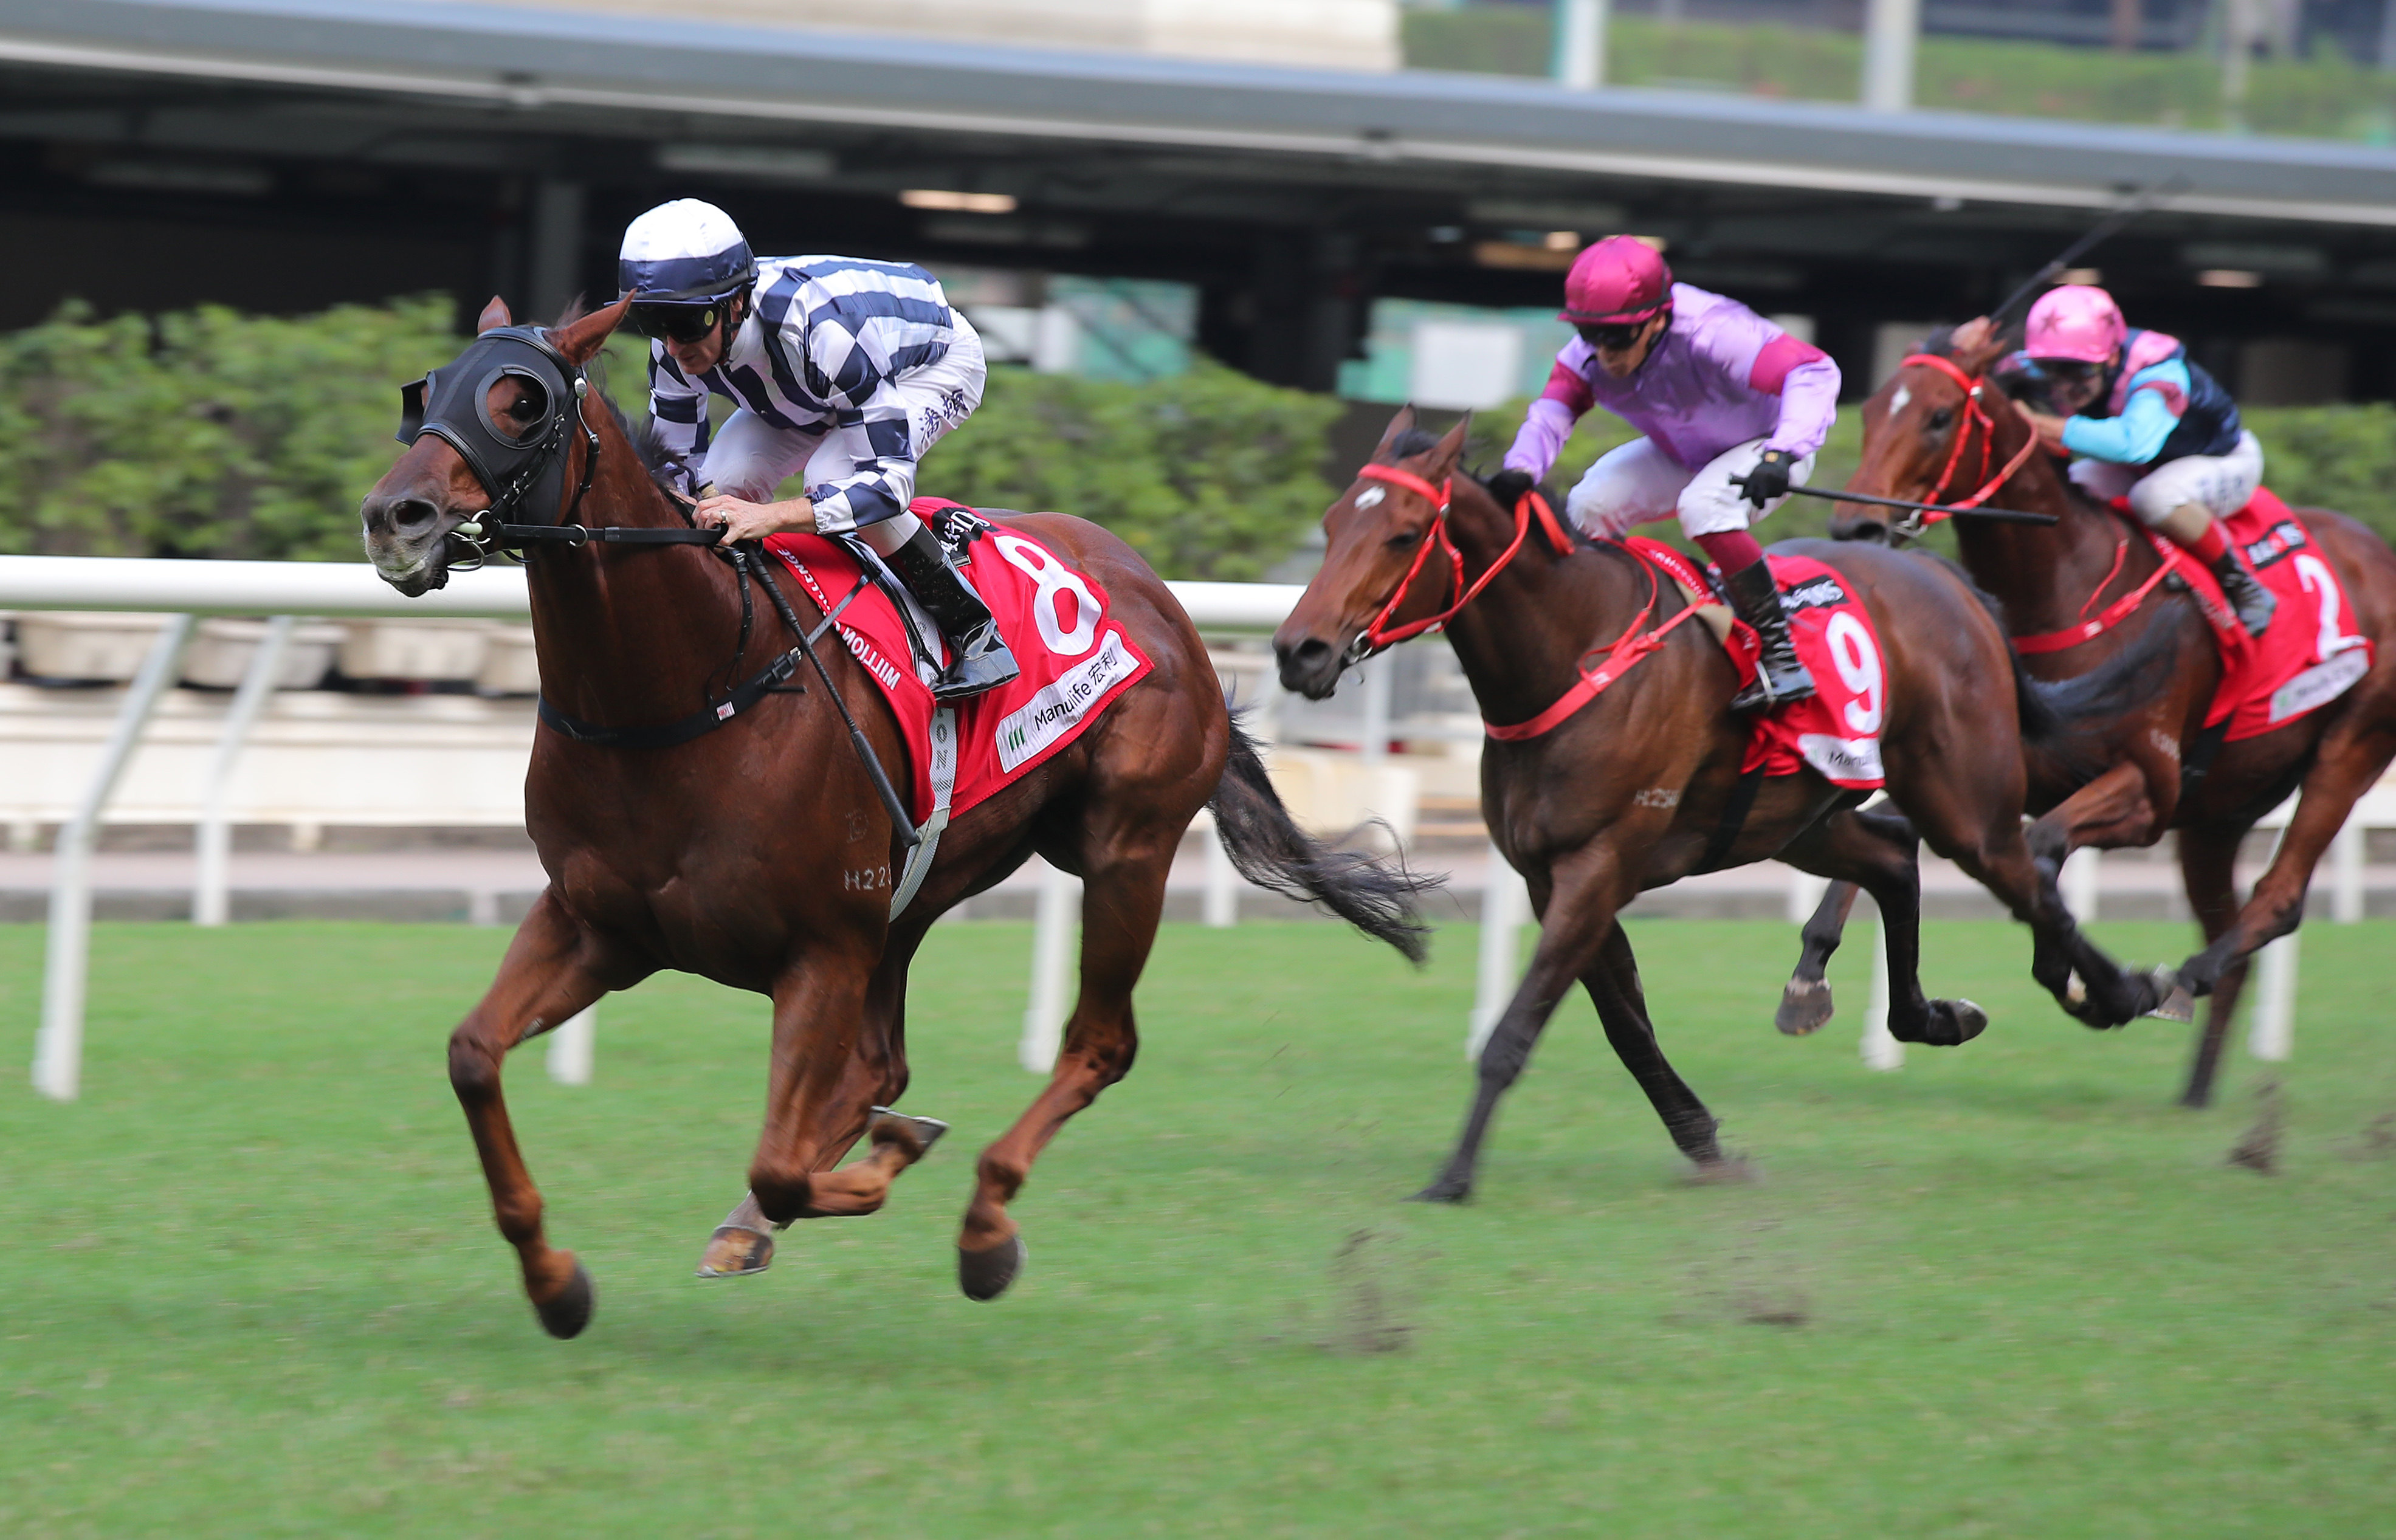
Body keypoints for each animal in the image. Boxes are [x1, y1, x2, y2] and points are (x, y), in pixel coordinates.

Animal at [352, 298, 1418, 1341]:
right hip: (915, 892)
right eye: (425, 393)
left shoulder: (820, 948)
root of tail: (1155, 592)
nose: (394, 516)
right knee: (880, 1064)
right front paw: (555, 1282)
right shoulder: (599, 925)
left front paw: (878, 1172)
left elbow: (781, 1162)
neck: (689, 691)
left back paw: (983, 1224)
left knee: (1095, 1043)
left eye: (520, 401)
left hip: (1124, 850)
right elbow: (473, 1057)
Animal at [1284, 409, 2166, 1207]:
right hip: (1799, 816)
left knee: (2027, 880)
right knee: (1891, 854)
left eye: (1402, 535)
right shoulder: (1551, 876)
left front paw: (1452, 1176)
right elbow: (1627, 1028)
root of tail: (1944, 578)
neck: (1572, 653)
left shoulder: (1598, 865)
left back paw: (2124, 990)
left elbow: (1515, 1031)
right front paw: (1705, 1141)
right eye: (1330, 524)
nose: (1298, 650)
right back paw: (1927, 1014)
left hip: (1961, 800)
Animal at [1802, 335, 2396, 1106]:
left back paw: (2182, 977)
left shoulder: (2146, 789)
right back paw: (2195, 1091)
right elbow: (1892, 837)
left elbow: (2042, 848)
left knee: (2279, 898)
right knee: (2233, 932)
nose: (1857, 526)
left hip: (2351, 746)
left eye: (1938, 417)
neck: (2066, 581)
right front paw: (1810, 972)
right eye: (1871, 409)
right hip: (2216, 815)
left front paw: (2078, 981)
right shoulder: (1989, 769)